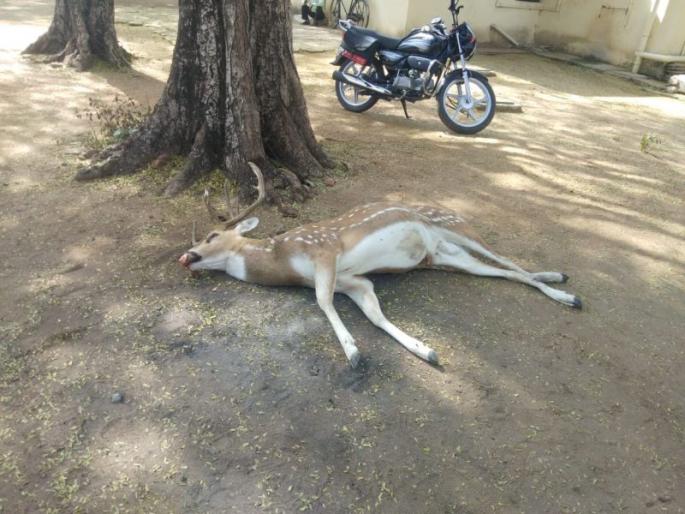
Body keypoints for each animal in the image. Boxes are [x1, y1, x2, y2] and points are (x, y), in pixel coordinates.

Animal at [179, 163, 582, 368]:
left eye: (211, 235)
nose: (186, 256)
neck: (285, 259)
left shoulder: (325, 250)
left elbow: (322, 302)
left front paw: (353, 353)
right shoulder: (353, 281)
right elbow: (374, 314)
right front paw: (425, 350)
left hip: (457, 226)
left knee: (506, 258)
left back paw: (565, 288)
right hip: (447, 259)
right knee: (505, 271)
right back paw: (563, 288)